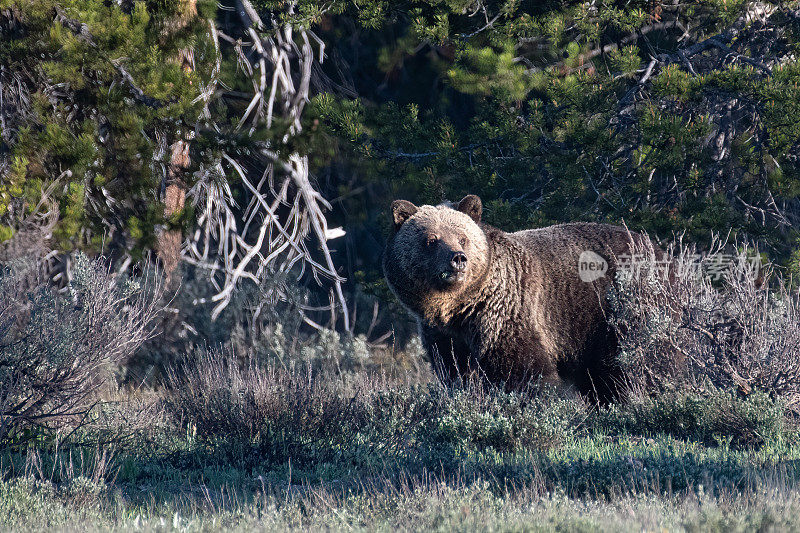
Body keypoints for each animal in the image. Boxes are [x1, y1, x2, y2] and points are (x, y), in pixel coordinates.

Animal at [382, 193, 656, 402]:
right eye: (431, 240)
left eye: (462, 237)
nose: (457, 258)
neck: (460, 308)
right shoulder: (444, 336)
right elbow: (456, 372)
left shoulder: (508, 315)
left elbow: (524, 370)